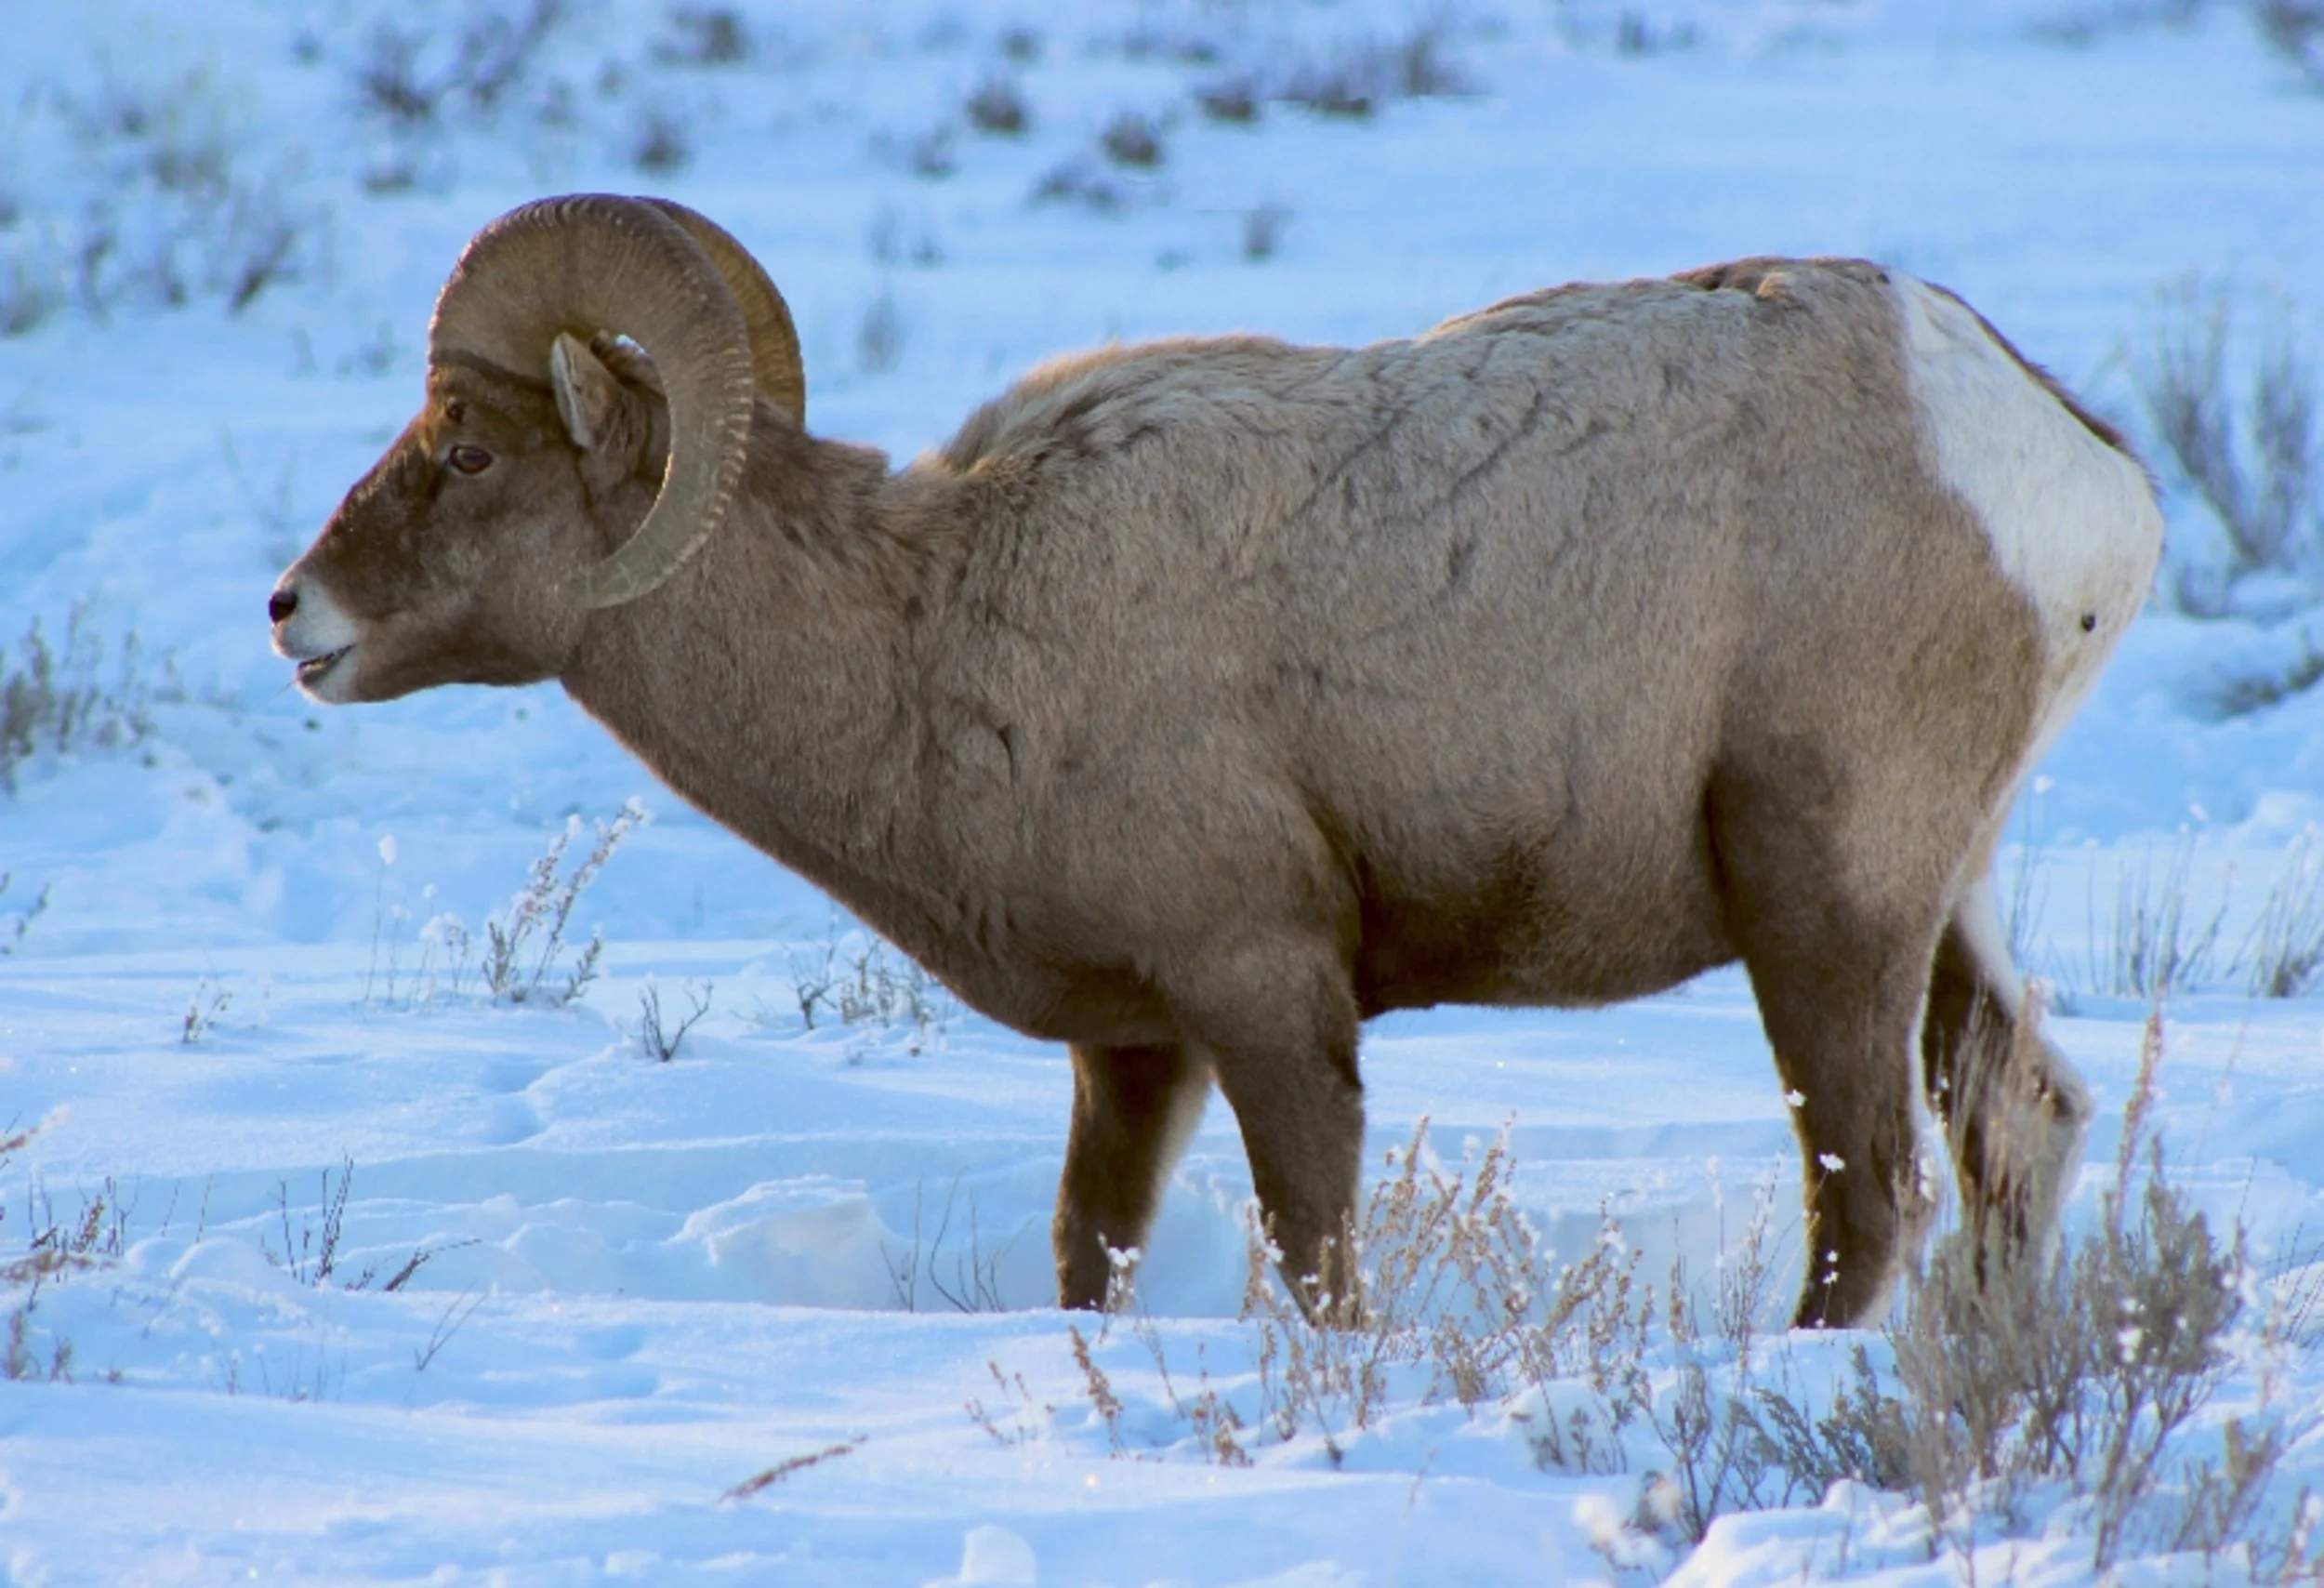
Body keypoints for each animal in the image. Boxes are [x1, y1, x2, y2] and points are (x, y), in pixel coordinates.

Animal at [270, 193, 2162, 1326]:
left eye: (465, 447)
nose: (296, 615)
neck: (930, 630)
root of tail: (2058, 466)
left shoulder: (1265, 992)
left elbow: (1317, 1259)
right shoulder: (1133, 1046)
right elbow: (1086, 1257)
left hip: (1822, 905)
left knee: (1874, 1191)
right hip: (1938, 902)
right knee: (2023, 1123)